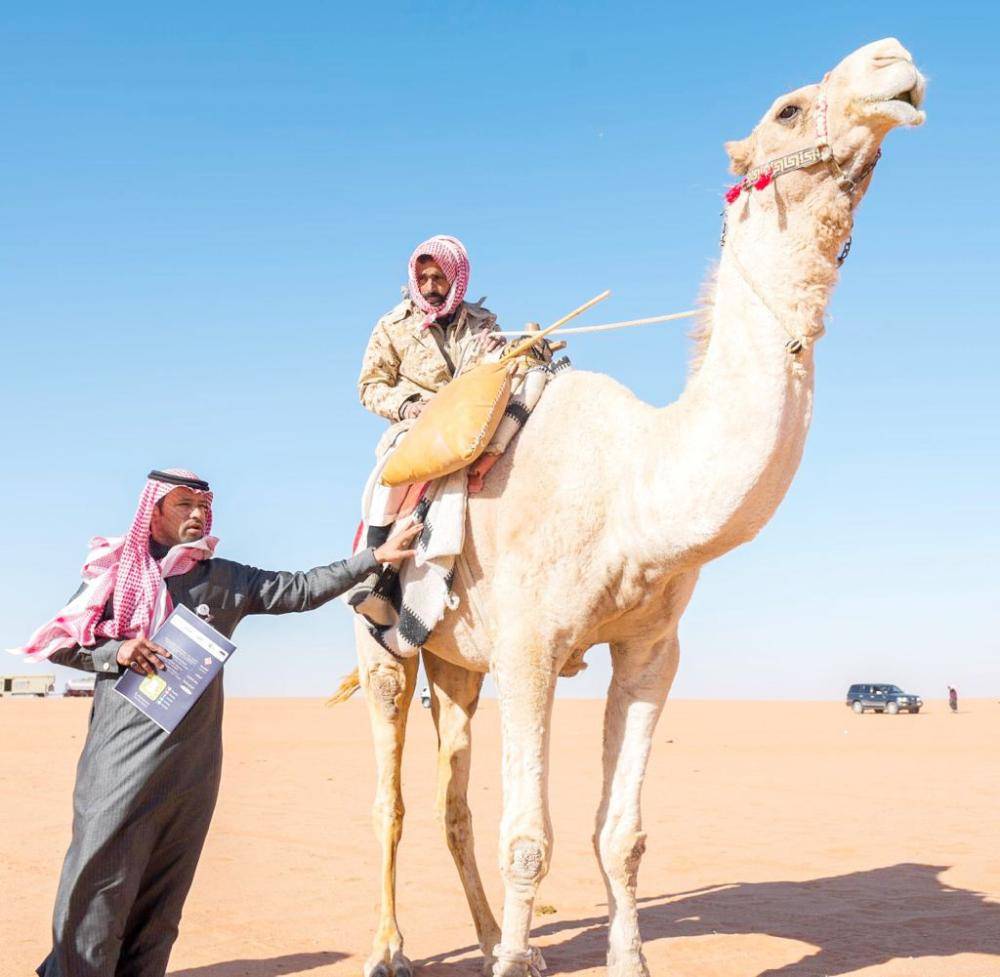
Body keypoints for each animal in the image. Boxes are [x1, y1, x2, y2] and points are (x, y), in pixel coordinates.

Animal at [354, 36, 928, 976]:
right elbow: (530, 837)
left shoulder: (652, 650)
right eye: (786, 109)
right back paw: (391, 947)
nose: (895, 59)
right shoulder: (529, 647)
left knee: (452, 800)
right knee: (391, 800)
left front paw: (613, 957)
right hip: (386, 646)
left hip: (457, 663)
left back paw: (489, 936)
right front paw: (516, 959)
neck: (634, 487)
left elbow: (620, 835)